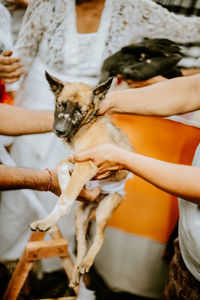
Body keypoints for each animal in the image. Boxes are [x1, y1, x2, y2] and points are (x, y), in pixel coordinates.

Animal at [30, 72, 134, 286]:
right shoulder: (76, 161)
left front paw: (47, 221)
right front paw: (63, 184)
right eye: (60, 104)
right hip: (81, 218)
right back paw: (76, 272)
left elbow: (66, 198)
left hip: (104, 211)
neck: (86, 127)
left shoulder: (87, 165)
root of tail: (95, 205)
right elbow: (61, 165)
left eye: (80, 111)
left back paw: (86, 263)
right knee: (82, 243)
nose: (60, 131)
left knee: (100, 237)